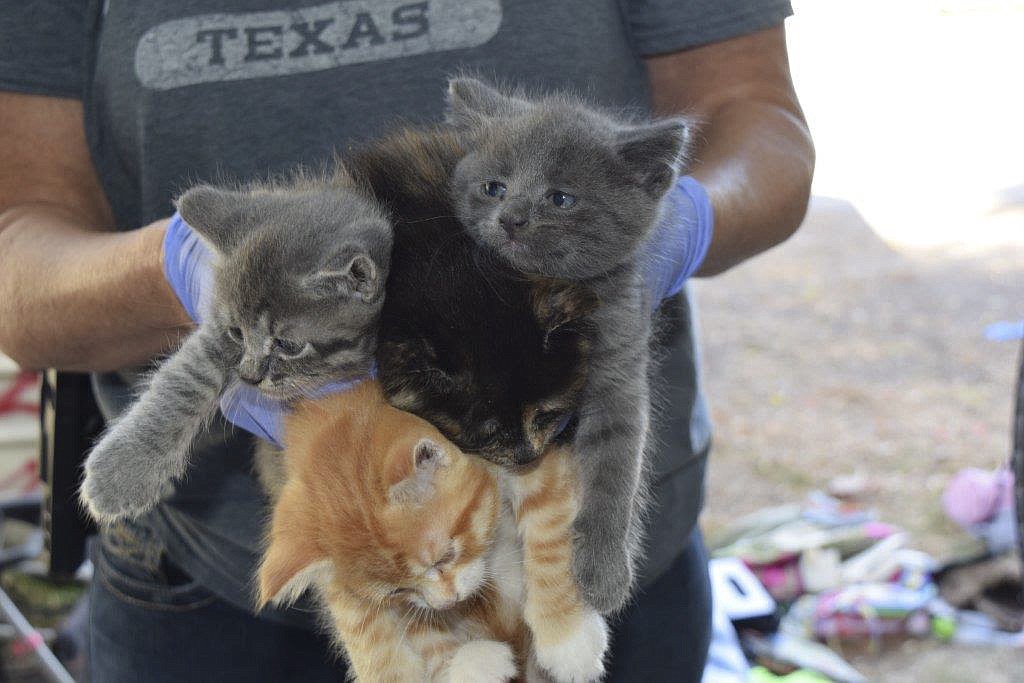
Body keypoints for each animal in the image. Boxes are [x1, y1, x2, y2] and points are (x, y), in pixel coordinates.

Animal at [78, 171, 391, 524]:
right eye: (237, 332)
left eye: (288, 345)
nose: (249, 376)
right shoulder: (216, 334)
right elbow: (185, 379)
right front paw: (123, 470)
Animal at [256, 382, 606, 679]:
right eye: (398, 590)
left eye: (446, 555)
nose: (449, 602)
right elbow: (409, 625)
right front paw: (461, 664)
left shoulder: (531, 457)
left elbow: (550, 527)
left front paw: (567, 636)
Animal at [446, 77, 692, 610]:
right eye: (494, 188)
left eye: (560, 199)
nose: (512, 217)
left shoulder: (620, 363)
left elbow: (616, 468)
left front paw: (603, 567)